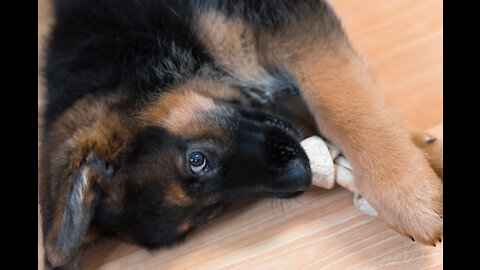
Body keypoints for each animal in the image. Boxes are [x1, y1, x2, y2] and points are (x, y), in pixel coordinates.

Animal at [39, 0, 444, 268]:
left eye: (197, 160)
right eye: (210, 214)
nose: (302, 176)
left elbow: (338, 101)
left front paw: (409, 195)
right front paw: (425, 153)